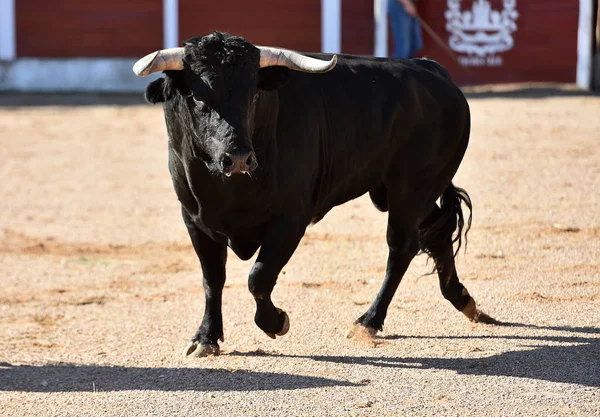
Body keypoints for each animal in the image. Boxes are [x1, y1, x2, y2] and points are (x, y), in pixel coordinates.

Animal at [138, 33, 494, 358]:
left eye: (253, 95)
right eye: (198, 98)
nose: (238, 158)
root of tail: (433, 71)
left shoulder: (290, 220)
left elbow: (259, 277)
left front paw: (276, 322)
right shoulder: (195, 220)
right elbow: (212, 279)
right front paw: (206, 337)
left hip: (410, 190)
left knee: (402, 247)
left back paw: (369, 321)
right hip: (396, 192)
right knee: (437, 230)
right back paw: (464, 301)